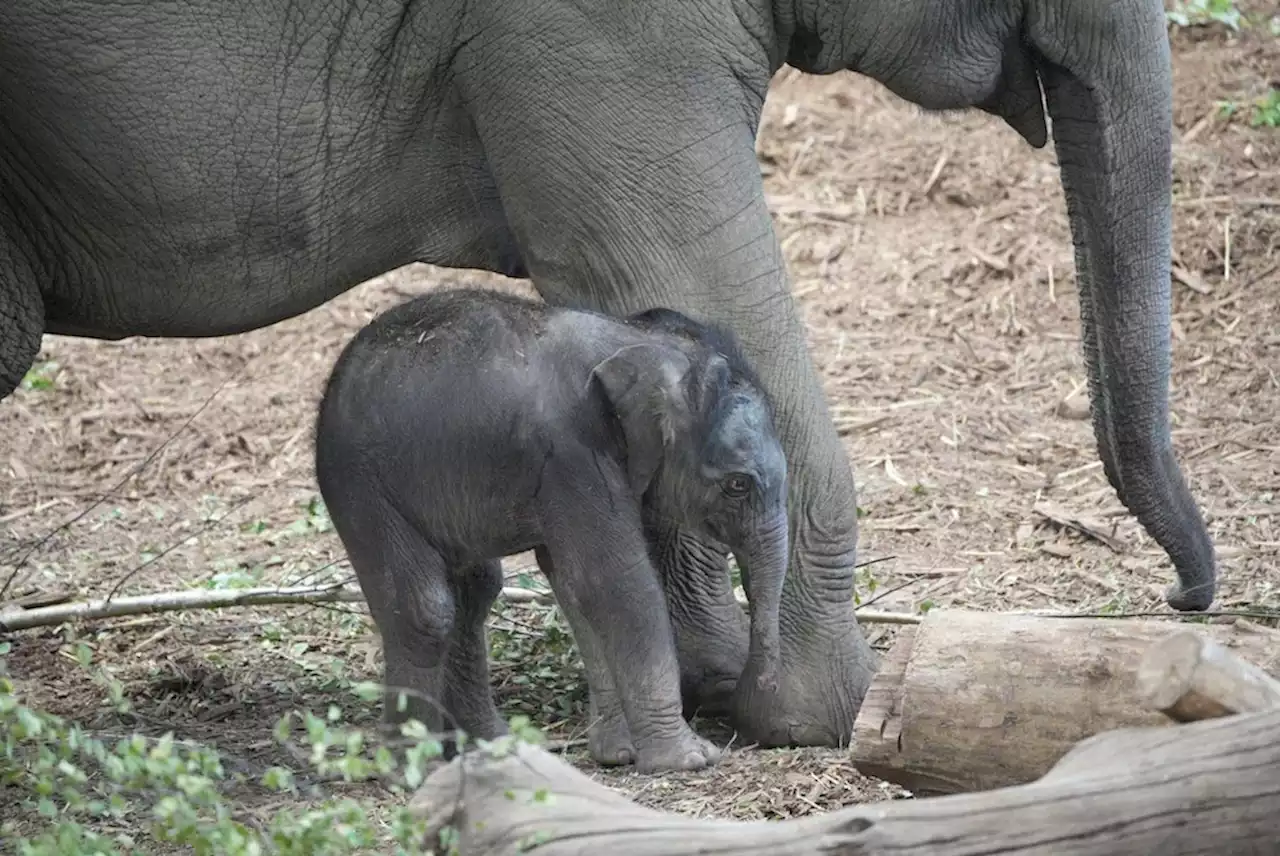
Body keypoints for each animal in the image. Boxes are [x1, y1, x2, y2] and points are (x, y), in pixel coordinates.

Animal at [312, 289, 788, 772]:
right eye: (737, 484)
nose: (760, 697)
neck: (632, 337)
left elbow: (570, 583)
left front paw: (618, 753)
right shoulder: (571, 452)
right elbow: (612, 582)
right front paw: (689, 758)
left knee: (475, 592)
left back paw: (492, 746)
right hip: (363, 489)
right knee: (425, 610)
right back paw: (415, 766)